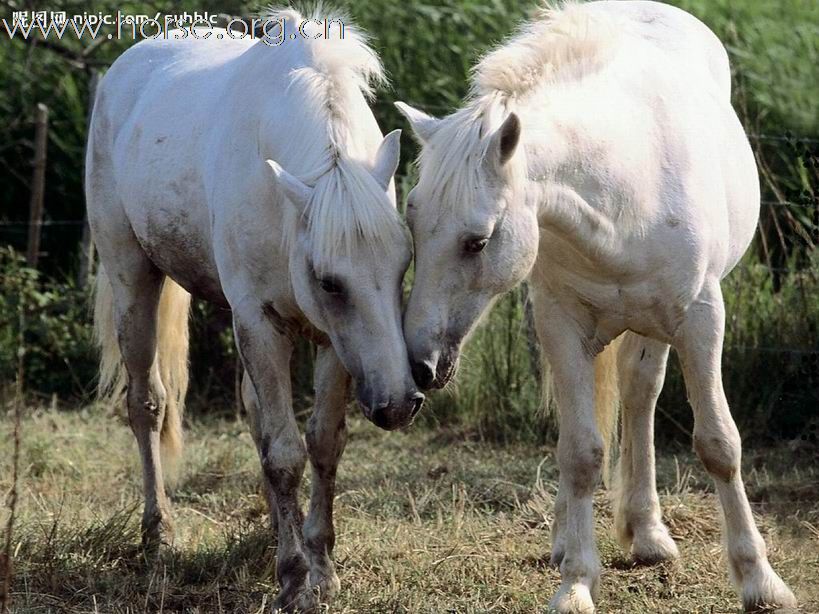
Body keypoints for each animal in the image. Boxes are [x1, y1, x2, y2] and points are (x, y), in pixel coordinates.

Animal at [88, 10, 422, 614]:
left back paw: (271, 530)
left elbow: (321, 441)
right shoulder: (262, 323)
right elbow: (285, 451)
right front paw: (293, 577)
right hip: (132, 278)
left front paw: (321, 566)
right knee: (147, 403)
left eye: (404, 264)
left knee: (254, 416)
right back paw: (158, 532)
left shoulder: (333, 343)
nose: (399, 404)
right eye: (329, 281)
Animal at [398, 2, 796, 612]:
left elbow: (719, 443)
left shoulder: (702, 318)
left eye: (477, 242)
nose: (420, 365)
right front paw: (577, 582)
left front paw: (760, 580)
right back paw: (575, 538)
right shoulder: (561, 324)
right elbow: (581, 452)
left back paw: (649, 533)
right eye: (412, 228)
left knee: (640, 395)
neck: (623, 196)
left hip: (656, 325)